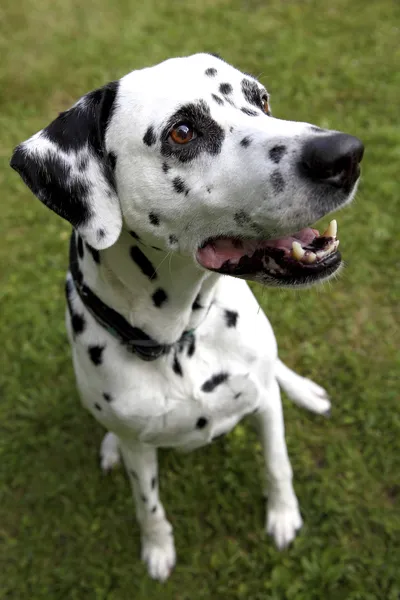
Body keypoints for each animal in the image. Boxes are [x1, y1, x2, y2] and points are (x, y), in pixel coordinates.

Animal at [11, 52, 362, 580]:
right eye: (182, 132)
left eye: (261, 99)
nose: (345, 154)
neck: (180, 339)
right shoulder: (140, 453)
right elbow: (149, 506)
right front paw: (158, 549)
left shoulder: (263, 403)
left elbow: (277, 463)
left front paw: (284, 515)